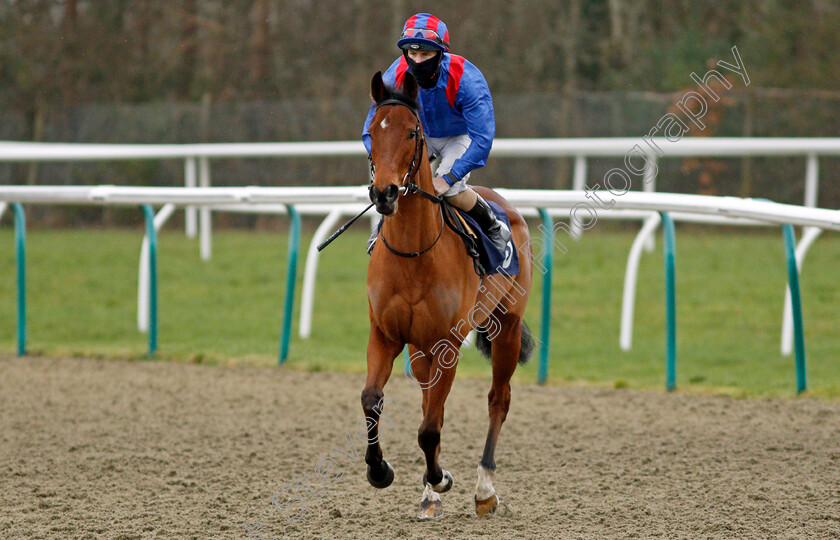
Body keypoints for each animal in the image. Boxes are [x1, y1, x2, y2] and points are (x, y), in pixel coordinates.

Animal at [360, 70, 532, 520]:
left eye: (411, 132)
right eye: (372, 131)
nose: (384, 193)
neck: (413, 253)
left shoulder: (448, 343)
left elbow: (429, 428)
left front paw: (441, 479)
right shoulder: (386, 334)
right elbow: (373, 400)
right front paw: (381, 471)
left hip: (507, 326)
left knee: (498, 399)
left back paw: (484, 489)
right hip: (420, 349)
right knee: (428, 403)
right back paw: (429, 494)